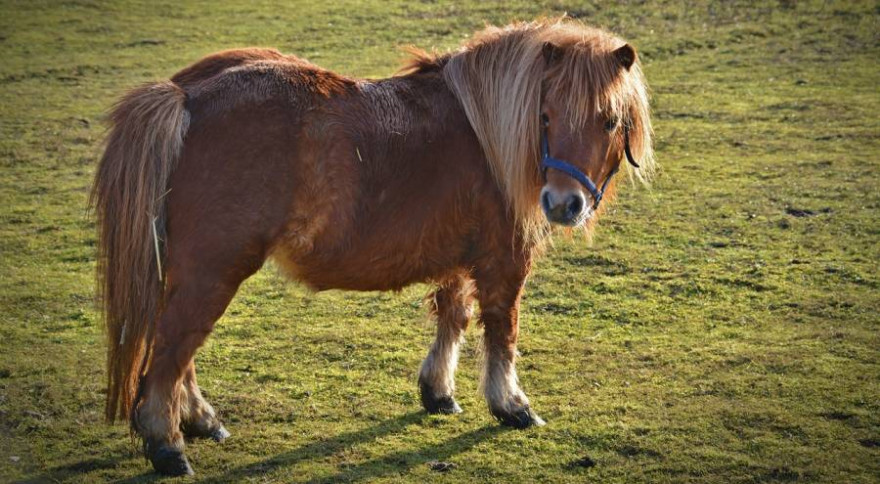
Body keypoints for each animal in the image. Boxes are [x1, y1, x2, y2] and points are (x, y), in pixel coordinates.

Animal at [91, 18, 652, 476]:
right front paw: (511, 405)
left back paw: (200, 421)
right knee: (172, 349)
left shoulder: (458, 255)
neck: (487, 136)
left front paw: (438, 392)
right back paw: (168, 445)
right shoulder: (504, 259)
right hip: (213, 270)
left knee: (177, 349)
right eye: (546, 117)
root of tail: (185, 96)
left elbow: (453, 315)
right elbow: (502, 330)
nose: (563, 204)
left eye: (608, 120)